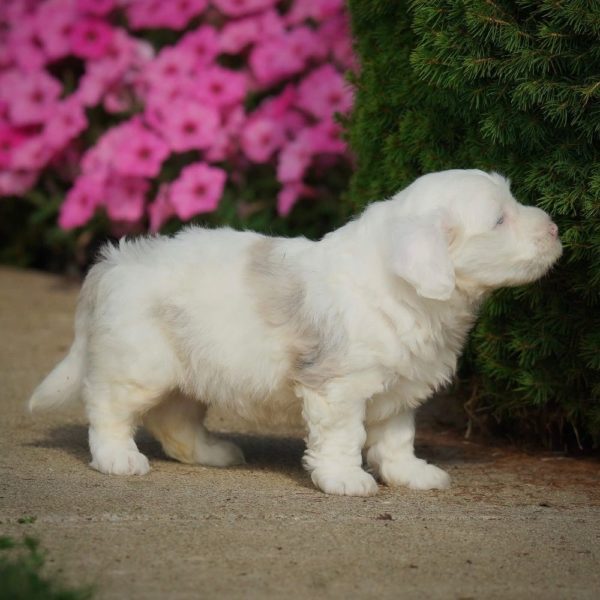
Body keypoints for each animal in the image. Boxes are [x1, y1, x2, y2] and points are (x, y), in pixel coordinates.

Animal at [29, 170, 564, 496]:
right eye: (500, 219)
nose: (556, 229)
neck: (398, 287)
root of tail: (112, 262)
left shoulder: (398, 390)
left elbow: (396, 438)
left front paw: (410, 474)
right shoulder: (338, 388)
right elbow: (344, 436)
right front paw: (346, 479)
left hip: (190, 370)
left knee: (175, 422)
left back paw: (211, 453)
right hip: (138, 366)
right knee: (109, 410)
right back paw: (118, 458)